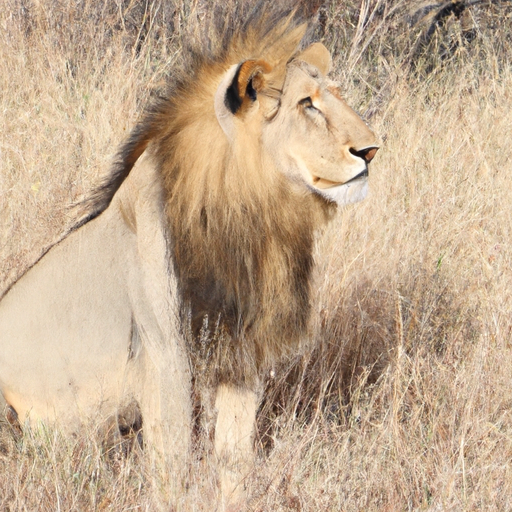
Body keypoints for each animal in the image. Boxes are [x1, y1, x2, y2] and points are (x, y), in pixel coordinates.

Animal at [0, 8, 376, 504]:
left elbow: (235, 458)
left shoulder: (241, 355)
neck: (250, 217)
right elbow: (173, 466)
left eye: (334, 97)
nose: (371, 150)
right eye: (306, 104)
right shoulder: (165, 357)